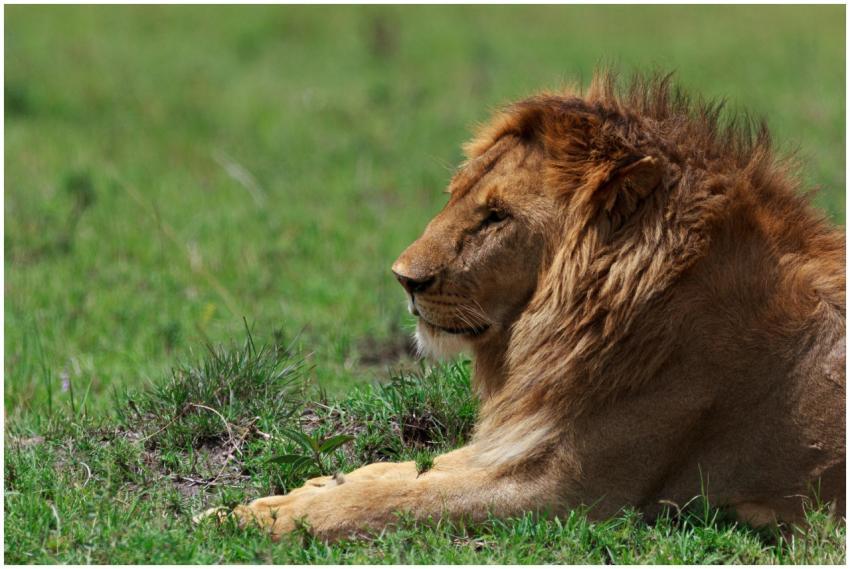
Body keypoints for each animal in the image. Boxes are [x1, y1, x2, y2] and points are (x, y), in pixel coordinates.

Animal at [207, 71, 845, 540]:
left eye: (497, 216)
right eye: (457, 196)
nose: (404, 279)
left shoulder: (569, 492)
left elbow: (399, 498)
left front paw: (251, 519)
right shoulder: (519, 441)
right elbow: (395, 473)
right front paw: (293, 494)